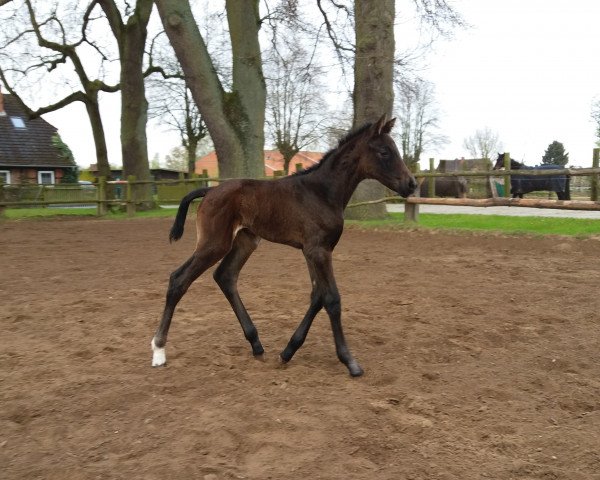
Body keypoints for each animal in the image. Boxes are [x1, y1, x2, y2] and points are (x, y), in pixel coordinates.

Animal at [150, 114, 414, 376]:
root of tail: (210, 189)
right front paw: (349, 361)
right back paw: (159, 350)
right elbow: (332, 299)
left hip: (245, 241)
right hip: (214, 244)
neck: (322, 192)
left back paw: (256, 344)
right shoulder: (318, 250)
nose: (411, 184)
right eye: (384, 152)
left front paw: (288, 351)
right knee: (179, 279)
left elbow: (317, 296)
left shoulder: (313, 251)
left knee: (225, 276)